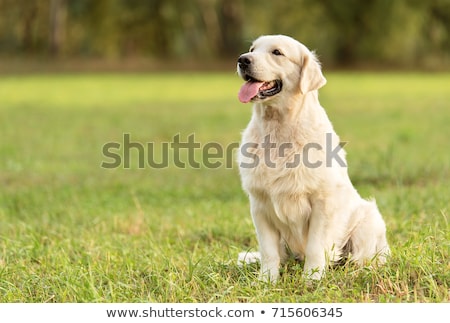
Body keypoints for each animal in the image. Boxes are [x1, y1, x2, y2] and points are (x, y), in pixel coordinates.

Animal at [237, 35, 388, 282]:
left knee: (365, 258)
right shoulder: (260, 204)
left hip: (368, 219)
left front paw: (312, 278)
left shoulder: (322, 202)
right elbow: (268, 250)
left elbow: (316, 246)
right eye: (252, 49)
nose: (242, 60)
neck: (278, 129)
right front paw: (267, 280)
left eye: (277, 52)